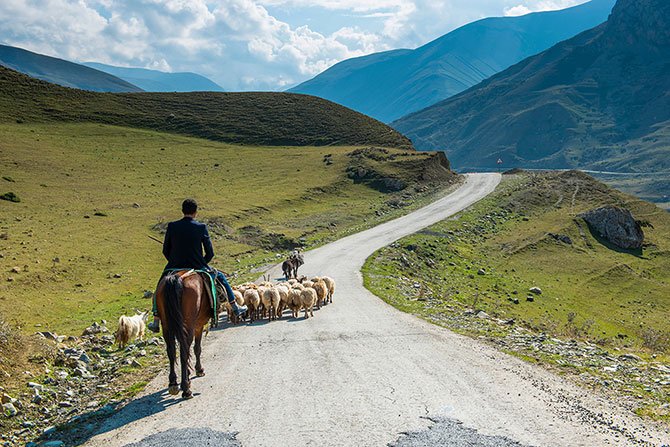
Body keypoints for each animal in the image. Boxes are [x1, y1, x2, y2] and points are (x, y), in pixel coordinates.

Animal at [156, 270, 213, 400]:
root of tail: (176, 278)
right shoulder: (198, 325)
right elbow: (197, 348)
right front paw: (198, 370)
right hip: (188, 325)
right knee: (184, 352)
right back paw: (186, 389)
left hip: (166, 326)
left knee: (171, 351)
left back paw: (173, 383)